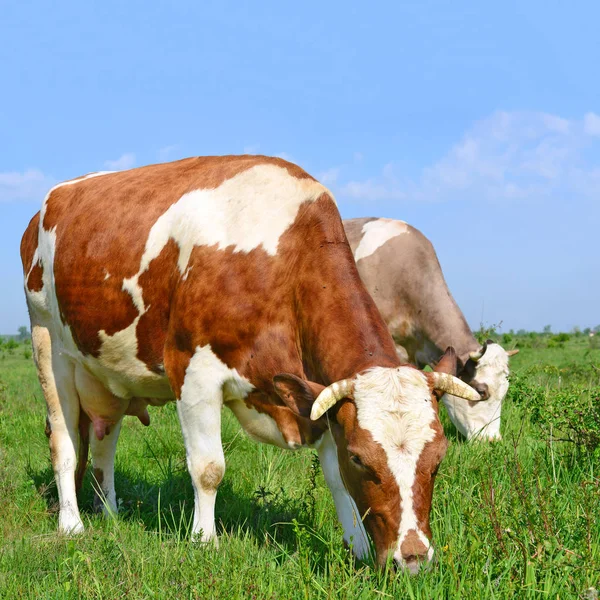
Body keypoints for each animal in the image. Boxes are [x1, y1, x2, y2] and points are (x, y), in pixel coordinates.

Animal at [19, 156, 478, 572]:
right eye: (362, 458)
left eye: (438, 458)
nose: (414, 559)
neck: (282, 260)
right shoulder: (193, 371)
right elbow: (208, 469)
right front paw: (204, 543)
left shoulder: (320, 397)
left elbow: (335, 479)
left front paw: (357, 548)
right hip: (47, 345)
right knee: (63, 441)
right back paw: (72, 525)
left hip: (105, 374)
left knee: (104, 440)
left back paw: (110, 513)